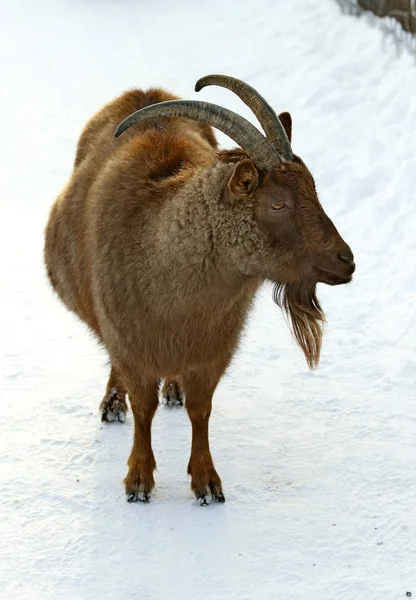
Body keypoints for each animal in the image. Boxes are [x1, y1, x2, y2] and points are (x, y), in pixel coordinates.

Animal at [44, 76, 354, 506]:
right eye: (278, 203)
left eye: (314, 190)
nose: (346, 261)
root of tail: (143, 93)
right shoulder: (131, 342)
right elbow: (143, 409)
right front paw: (138, 480)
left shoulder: (213, 349)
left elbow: (200, 409)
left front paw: (207, 483)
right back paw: (113, 404)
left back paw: (172, 388)